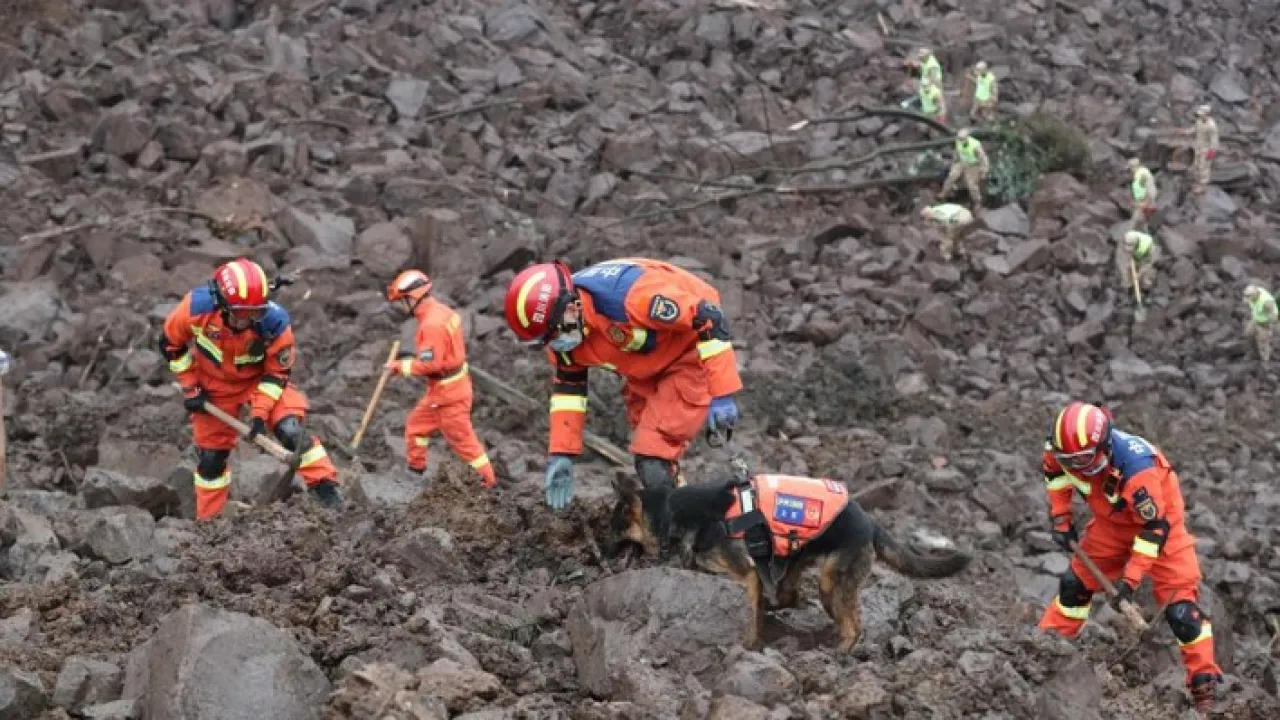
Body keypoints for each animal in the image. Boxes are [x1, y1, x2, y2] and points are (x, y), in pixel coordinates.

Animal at [609, 469, 972, 652]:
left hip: (832, 582)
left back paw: (839, 656)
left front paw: (749, 644)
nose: (604, 553)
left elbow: (750, 612)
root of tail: (869, 522)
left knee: (853, 625)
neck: (670, 511)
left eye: (613, 526)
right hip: (803, 569)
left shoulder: (746, 573)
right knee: (794, 596)